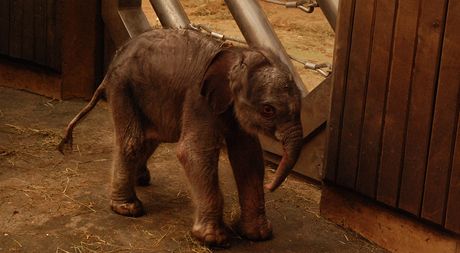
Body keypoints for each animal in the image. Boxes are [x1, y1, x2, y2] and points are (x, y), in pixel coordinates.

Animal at [58, 28, 302, 246]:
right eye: (268, 110)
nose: (270, 187)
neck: (237, 54)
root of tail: (113, 62)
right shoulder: (198, 99)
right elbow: (193, 152)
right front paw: (213, 239)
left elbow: (248, 156)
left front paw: (258, 235)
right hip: (122, 86)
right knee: (133, 140)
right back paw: (128, 209)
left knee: (152, 137)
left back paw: (140, 179)